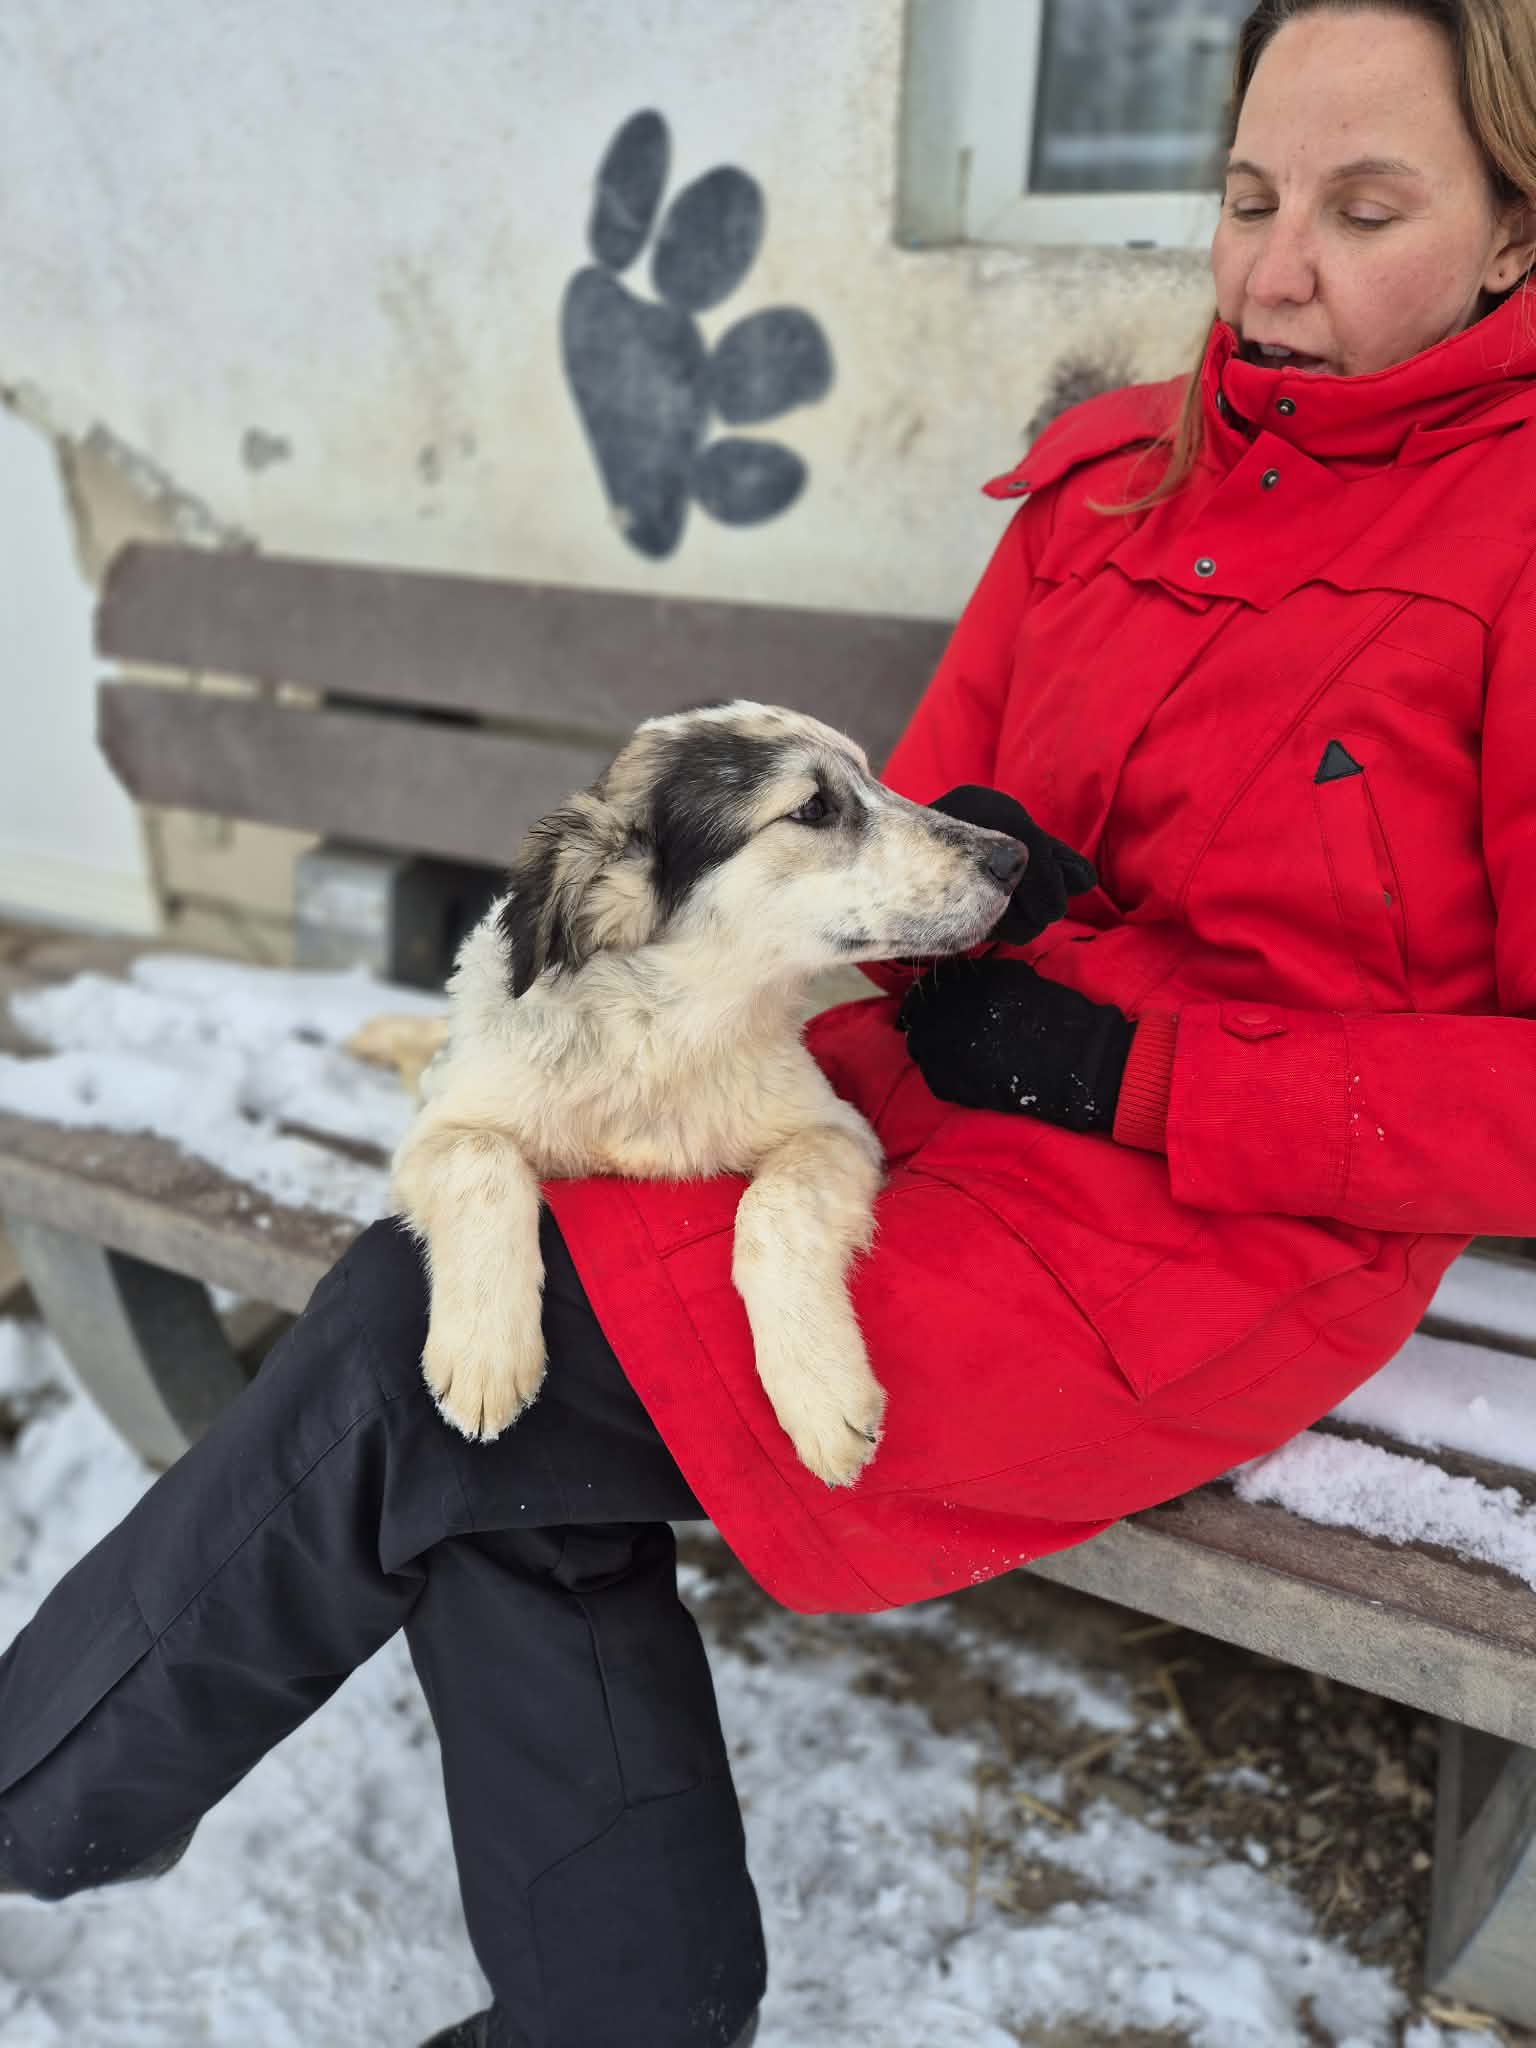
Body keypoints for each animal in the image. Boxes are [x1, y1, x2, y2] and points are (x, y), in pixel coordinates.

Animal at [388, 701, 1027, 1487]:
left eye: (872, 779)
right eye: (813, 807)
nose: (1015, 858)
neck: (661, 1037)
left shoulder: (835, 1129)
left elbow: (773, 1208)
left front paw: (820, 1385)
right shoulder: (439, 1123)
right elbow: (480, 1159)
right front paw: (485, 1349)